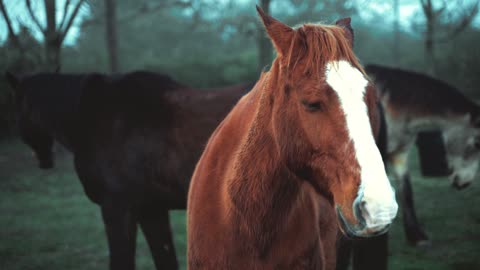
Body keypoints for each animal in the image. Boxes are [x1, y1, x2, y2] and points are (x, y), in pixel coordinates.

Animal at [6, 70, 255, 270]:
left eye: (17, 108)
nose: (44, 160)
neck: (94, 116)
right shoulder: (151, 209)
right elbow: (165, 260)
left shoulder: (117, 207)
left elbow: (122, 262)